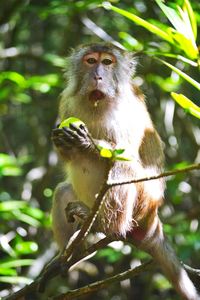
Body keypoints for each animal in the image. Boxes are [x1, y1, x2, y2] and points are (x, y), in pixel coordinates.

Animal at [51, 43, 198, 298]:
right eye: (91, 61)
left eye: (107, 62)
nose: (98, 76)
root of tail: (153, 220)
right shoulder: (67, 100)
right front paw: (63, 141)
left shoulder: (127, 108)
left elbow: (125, 156)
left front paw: (87, 143)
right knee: (62, 192)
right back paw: (75, 254)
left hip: (143, 205)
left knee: (124, 171)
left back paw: (108, 226)